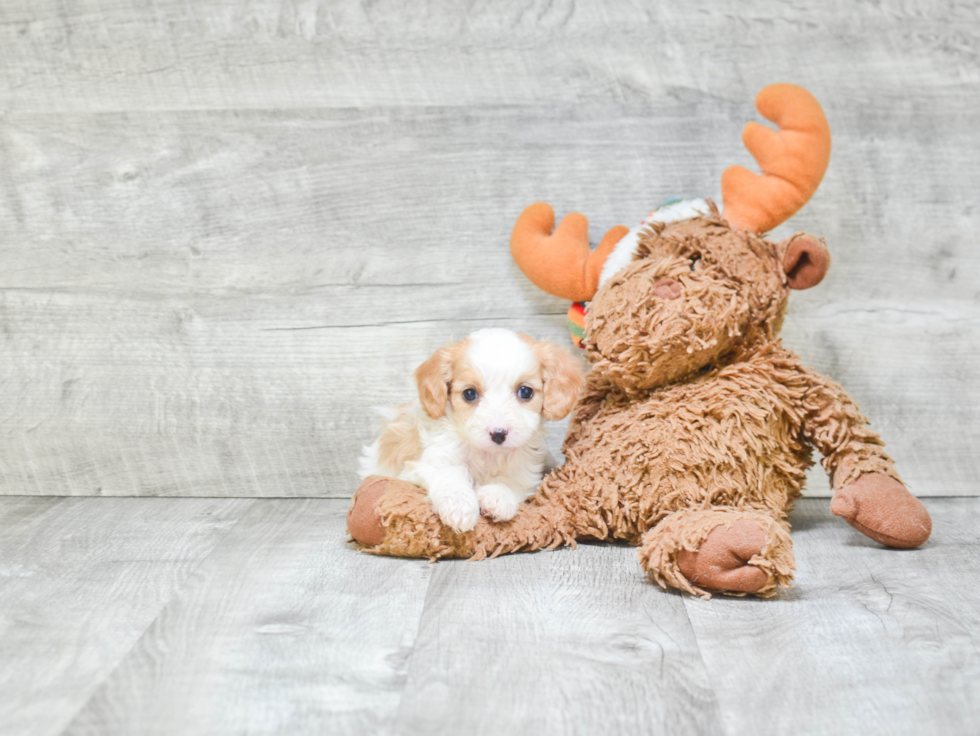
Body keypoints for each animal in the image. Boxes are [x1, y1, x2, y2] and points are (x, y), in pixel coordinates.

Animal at [360, 330, 580, 532]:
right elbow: (450, 472)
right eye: (469, 394)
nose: (498, 433)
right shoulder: (427, 461)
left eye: (525, 392)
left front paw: (497, 497)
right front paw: (459, 505)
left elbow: (508, 482)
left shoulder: (524, 472)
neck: (486, 454)